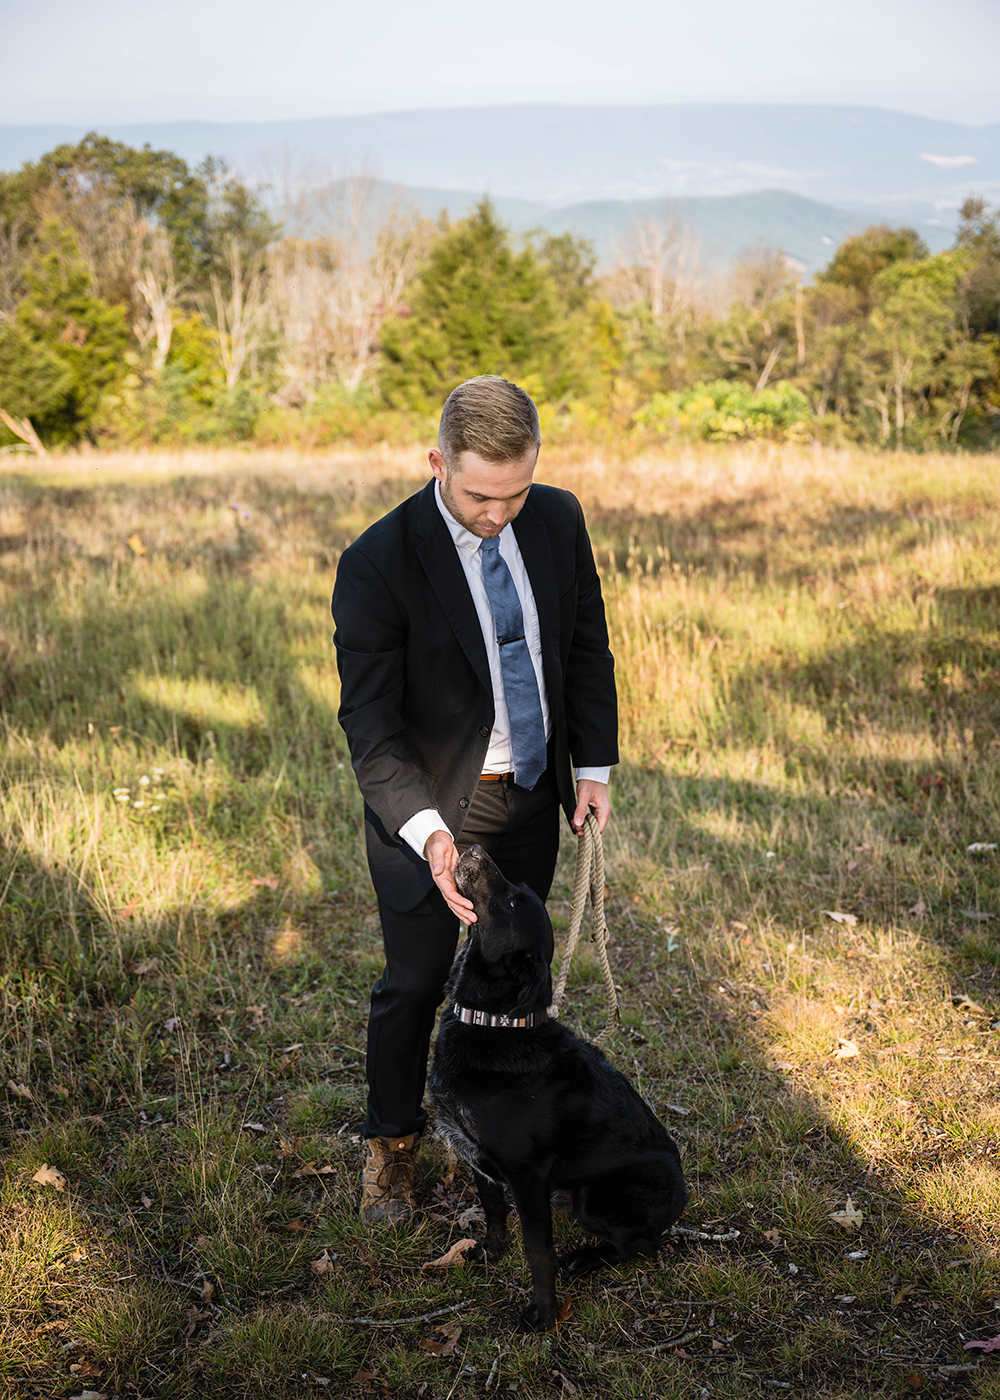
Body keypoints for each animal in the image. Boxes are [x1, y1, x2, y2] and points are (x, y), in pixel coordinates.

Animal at [428, 840, 686, 1332]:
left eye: (513, 901)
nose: (475, 847)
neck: (493, 1022)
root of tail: (683, 1198)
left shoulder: (527, 1174)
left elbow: (538, 1251)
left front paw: (544, 1315)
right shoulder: (477, 1157)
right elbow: (493, 1209)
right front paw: (492, 1252)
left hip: (594, 1197)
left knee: (643, 1246)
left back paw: (585, 1260)